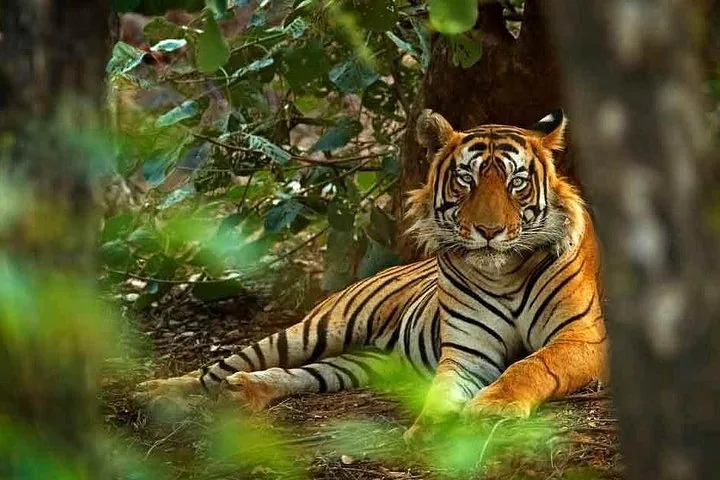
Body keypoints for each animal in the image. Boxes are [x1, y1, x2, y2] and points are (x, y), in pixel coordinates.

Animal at [136, 109, 607, 441]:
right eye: (466, 180)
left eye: (517, 183)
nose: (488, 231)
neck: (504, 273)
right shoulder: (466, 351)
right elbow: (442, 391)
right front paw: (430, 430)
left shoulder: (582, 337)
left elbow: (532, 364)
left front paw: (493, 407)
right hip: (316, 329)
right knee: (219, 367)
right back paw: (157, 391)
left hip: (363, 363)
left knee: (300, 374)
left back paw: (243, 392)